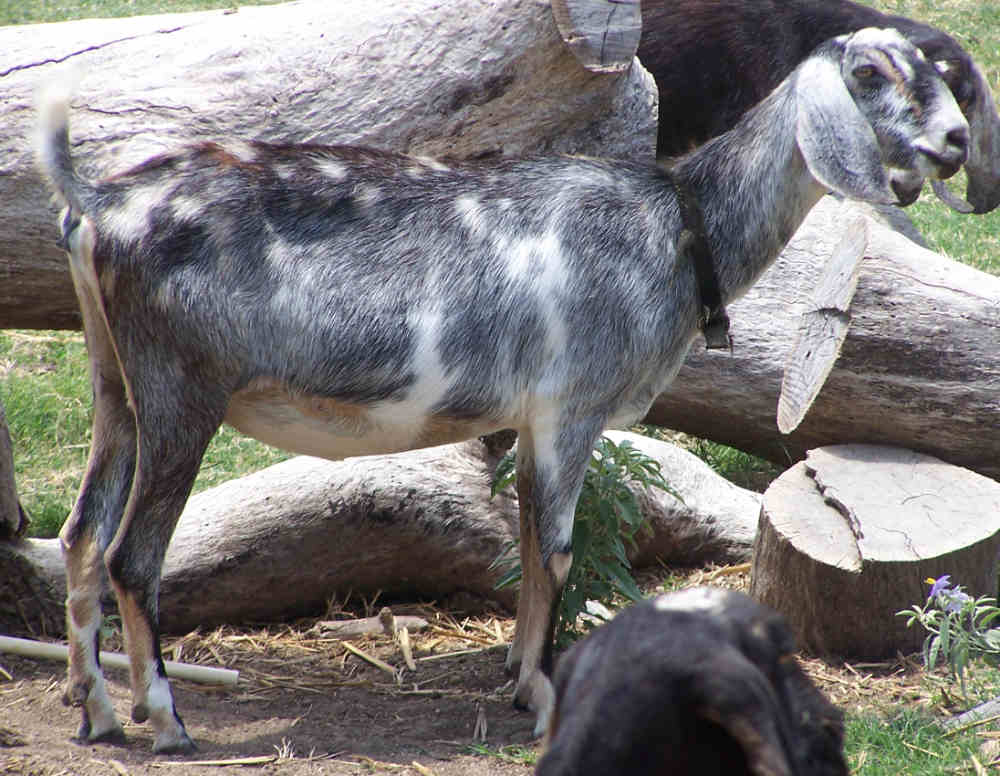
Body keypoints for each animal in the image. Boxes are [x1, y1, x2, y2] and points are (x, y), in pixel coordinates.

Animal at [37, 28, 968, 752]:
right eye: (871, 73)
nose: (958, 141)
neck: (675, 224)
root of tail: (100, 203)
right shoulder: (572, 407)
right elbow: (555, 548)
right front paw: (549, 697)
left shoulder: (533, 419)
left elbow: (523, 536)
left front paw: (519, 675)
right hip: (180, 392)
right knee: (132, 556)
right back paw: (165, 721)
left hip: (115, 383)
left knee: (82, 535)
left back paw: (97, 714)